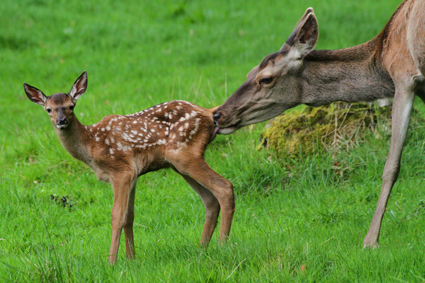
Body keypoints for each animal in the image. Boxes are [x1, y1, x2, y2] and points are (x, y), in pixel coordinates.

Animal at [24, 71, 234, 264]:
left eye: (71, 106)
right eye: (49, 109)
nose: (61, 121)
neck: (92, 145)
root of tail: (208, 112)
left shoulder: (121, 171)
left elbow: (117, 216)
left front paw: (111, 261)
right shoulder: (133, 174)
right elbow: (129, 215)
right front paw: (131, 258)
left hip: (183, 154)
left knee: (224, 187)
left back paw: (222, 245)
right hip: (179, 164)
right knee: (210, 200)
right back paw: (202, 248)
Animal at [214, 0, 424, 248]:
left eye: (265, 79)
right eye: (249, 72)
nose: (218, 114)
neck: (382, 58)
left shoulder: (405, 75)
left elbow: (391, 166)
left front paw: (370, 241)